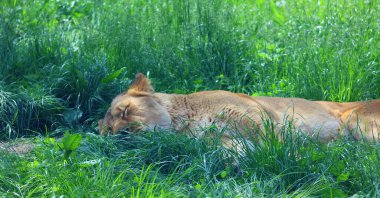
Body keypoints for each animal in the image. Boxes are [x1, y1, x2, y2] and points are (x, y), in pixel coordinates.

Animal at [98, 72, 380, 147]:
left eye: (125, 111)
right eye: (108, 132)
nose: (120, 135)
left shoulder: (262, 118)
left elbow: (279, 147)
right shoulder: (223, 139)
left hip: (358, 121)